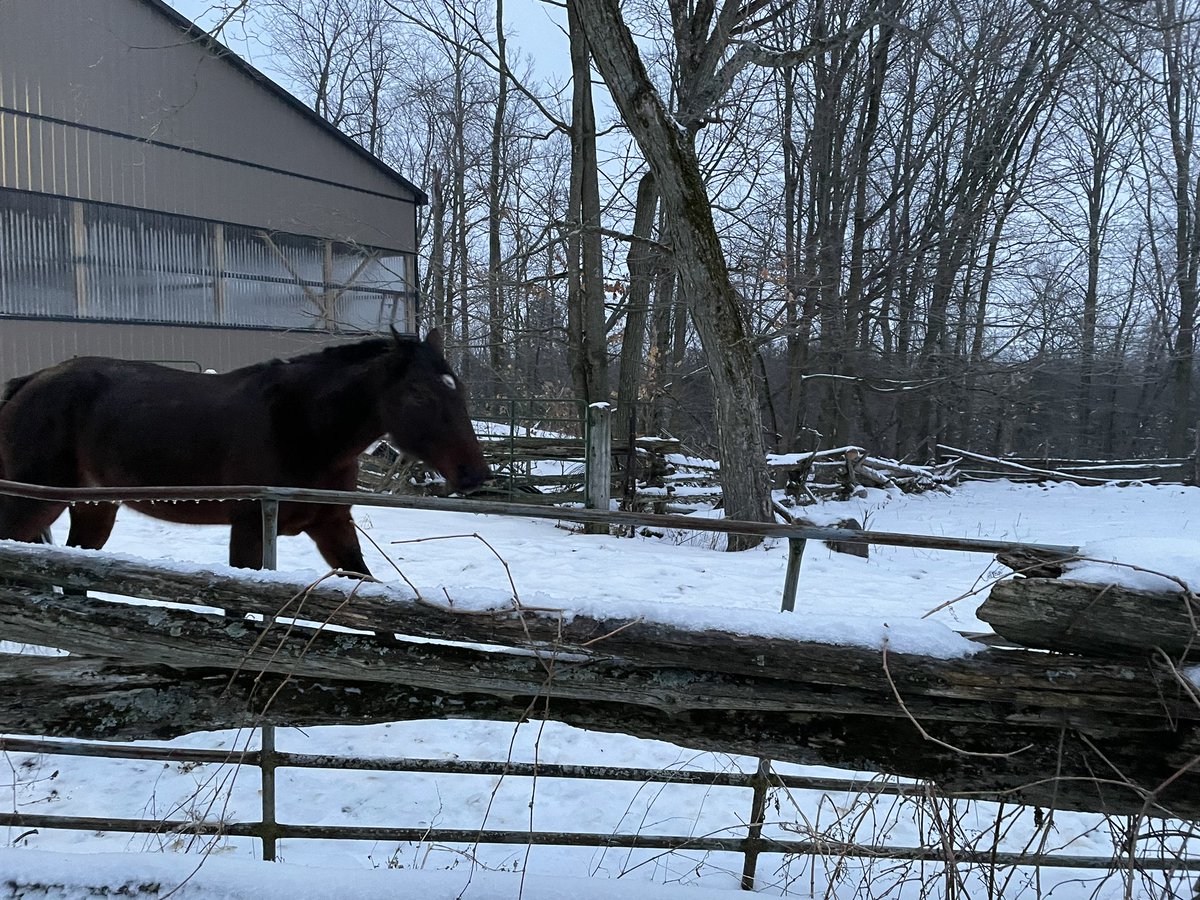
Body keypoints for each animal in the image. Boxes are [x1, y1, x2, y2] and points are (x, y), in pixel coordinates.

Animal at [0, 329, 489, 576]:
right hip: (33, 502)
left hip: (92, 509)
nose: (475, 475)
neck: (301, 425)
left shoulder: (332, 526)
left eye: (461, 389)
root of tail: (27, 383)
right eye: (419, 394)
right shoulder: (251, 526)